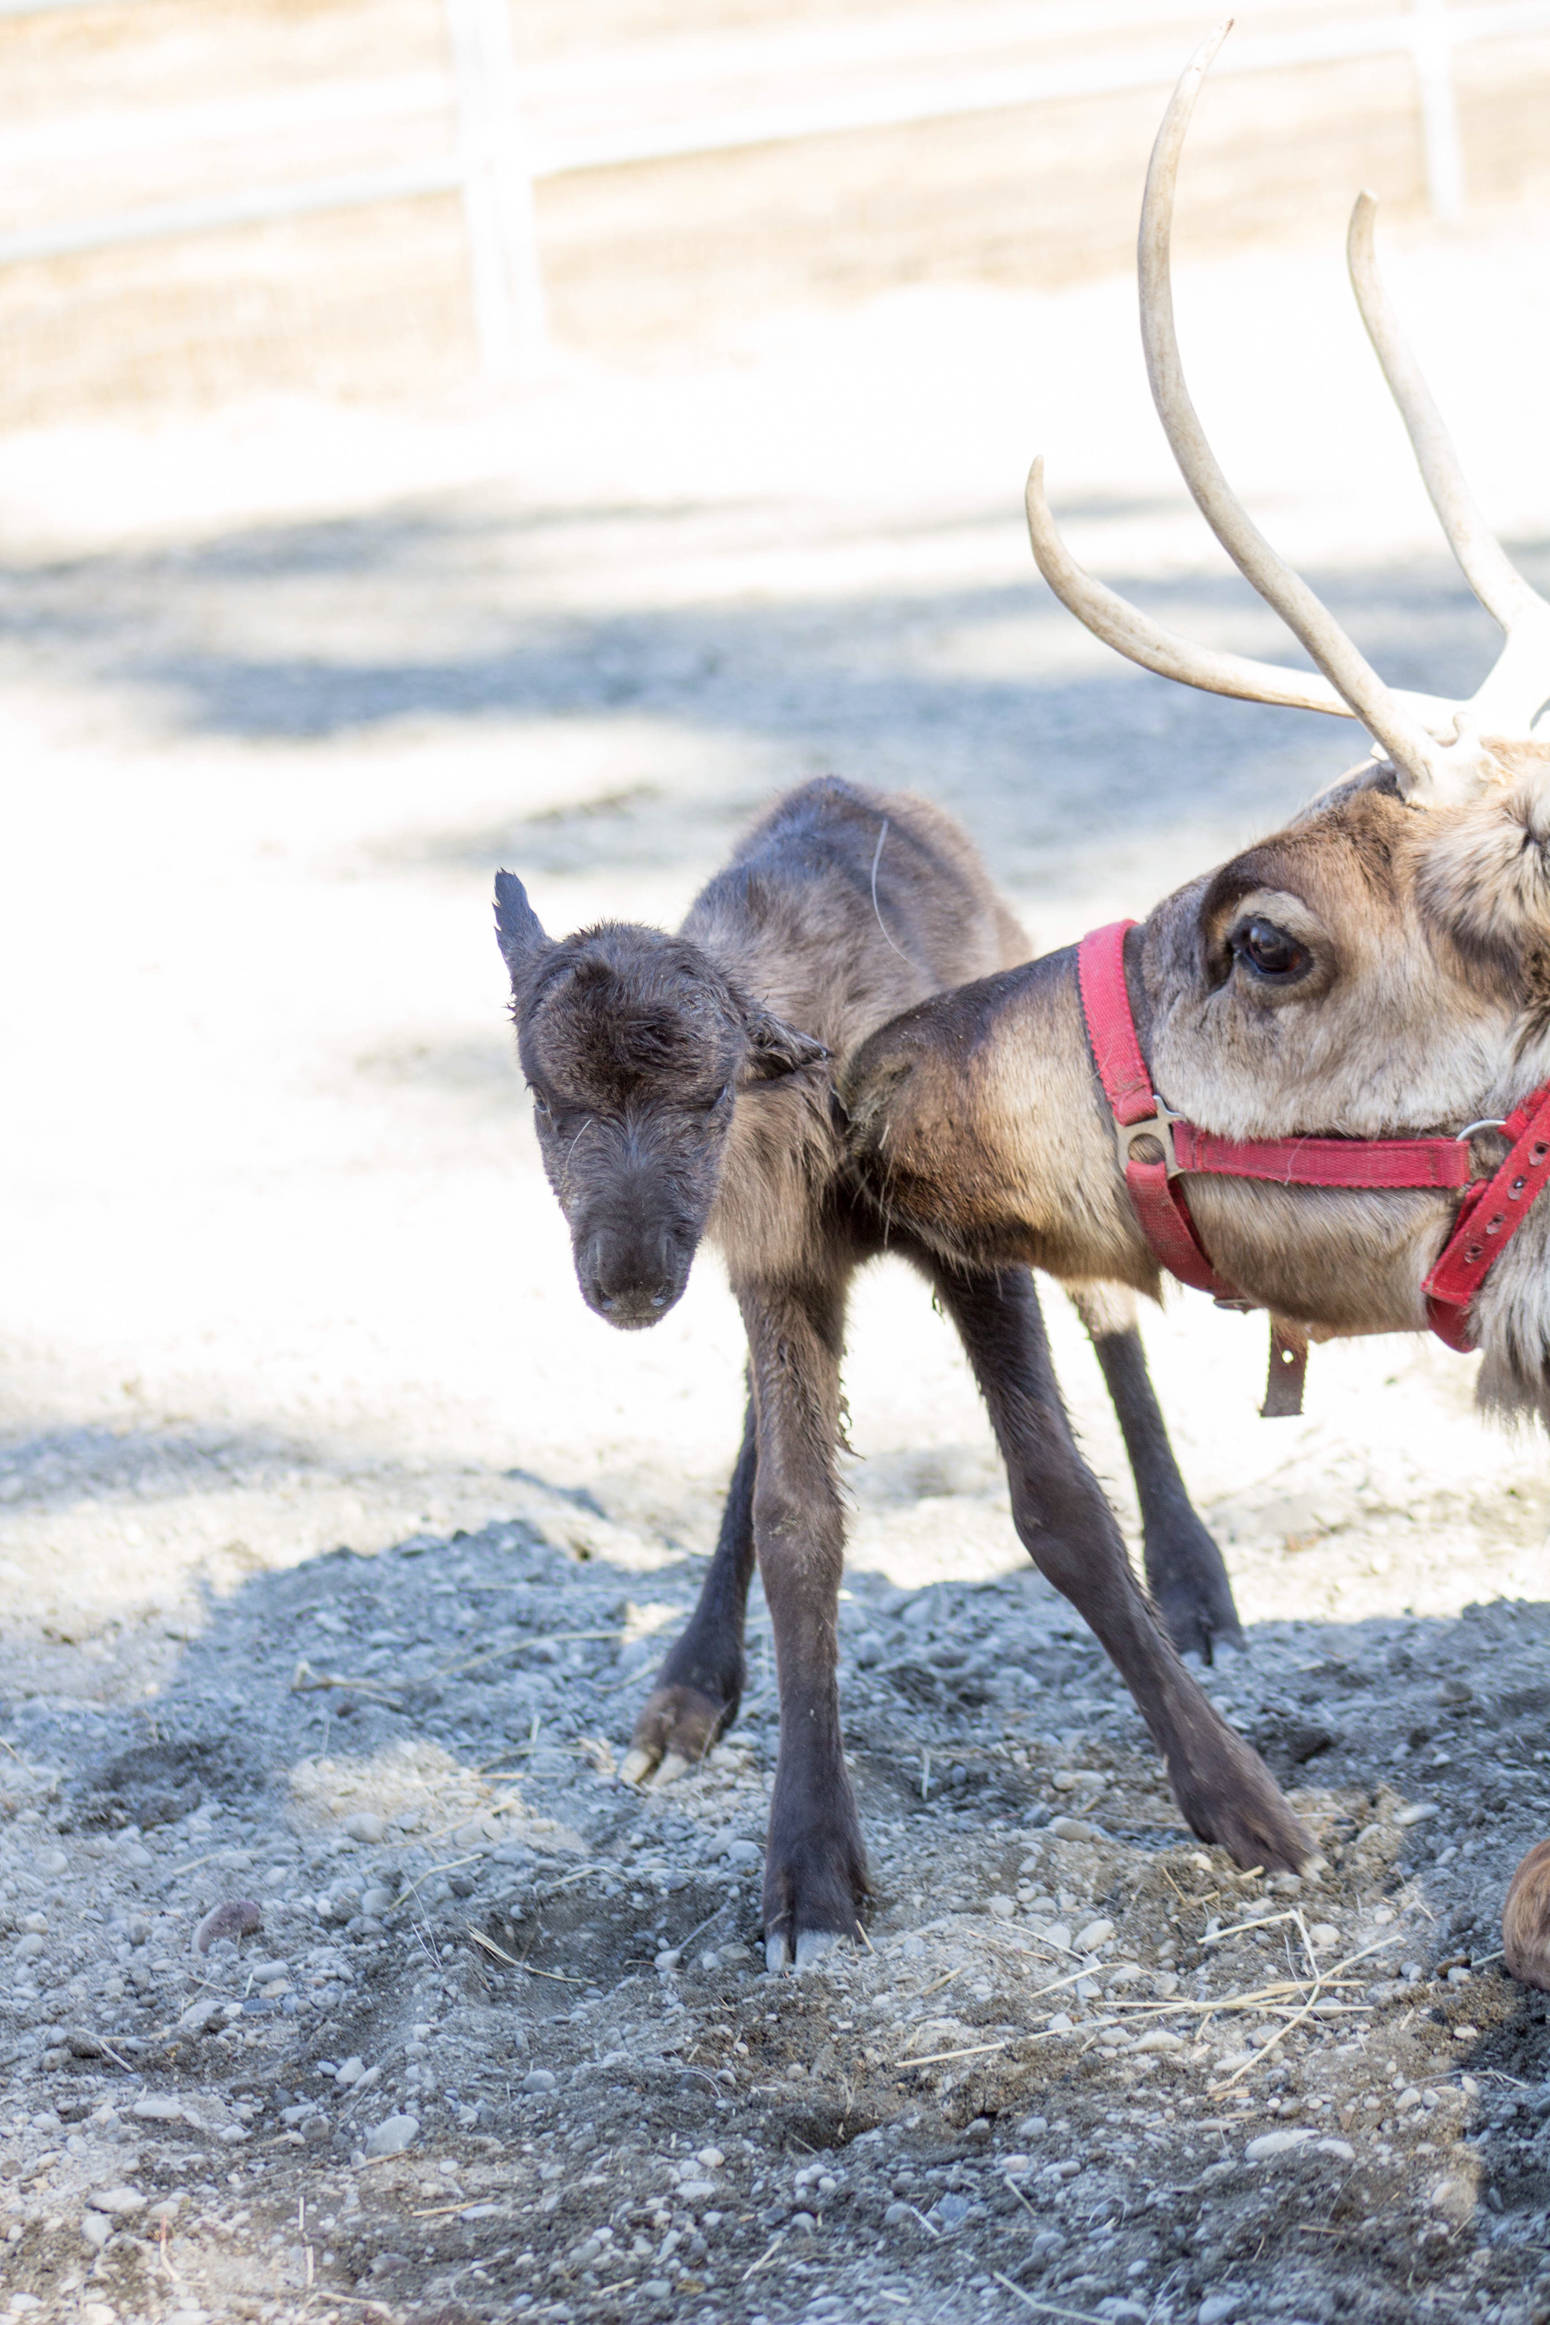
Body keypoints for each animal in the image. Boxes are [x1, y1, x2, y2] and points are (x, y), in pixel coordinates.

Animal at [497, 776, 1310, 1962]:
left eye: (709, 1096)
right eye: (549, 1102)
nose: (631, 1276)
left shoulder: (975, 1244)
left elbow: (1060, 1503)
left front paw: (1242, 1802)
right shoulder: (773, 1261)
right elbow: (795, 1516)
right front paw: (808, 1869)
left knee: (1112, 1315)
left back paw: (1194, 1584)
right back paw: (688, 1691)